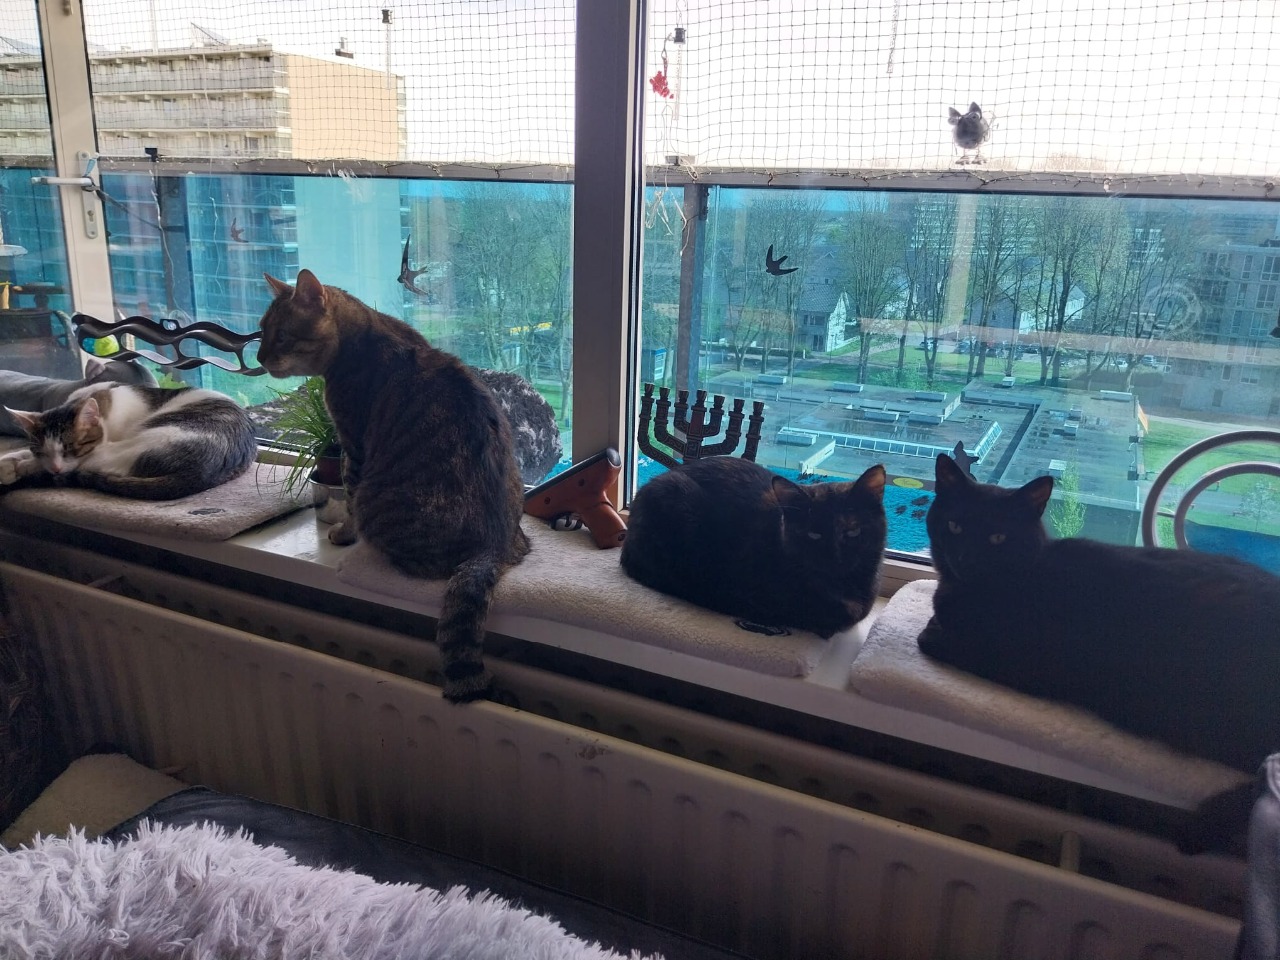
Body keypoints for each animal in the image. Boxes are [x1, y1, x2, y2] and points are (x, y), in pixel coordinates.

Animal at [0, 381, 256, 500]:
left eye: (71, 448)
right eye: (41, 450)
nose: (54, 467)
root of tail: (201, 472)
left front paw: (20, 465)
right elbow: (24, 451)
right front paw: (10, 460)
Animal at [256, 268, 529, 703]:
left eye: (281, 336)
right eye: (260, 332)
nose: (259, 358)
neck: (363, 334)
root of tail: (494, 546)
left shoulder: (353, 445)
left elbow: (349, 498)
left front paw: (344, 533)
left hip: (380, 499)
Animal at [919, 452, 1280, 852]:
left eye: (998, 537)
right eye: (955, 526)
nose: (965, 558)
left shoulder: (1031, 666)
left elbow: (931, 638)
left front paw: (933, 629)